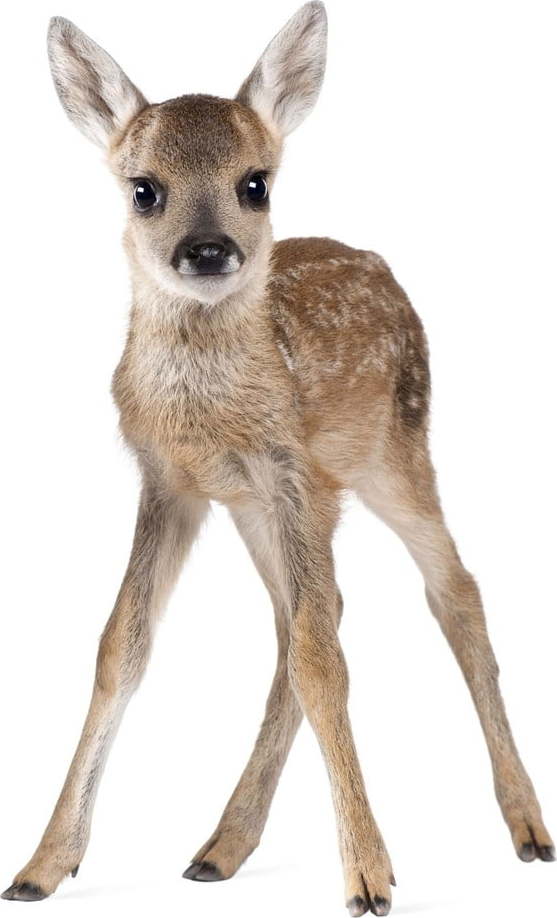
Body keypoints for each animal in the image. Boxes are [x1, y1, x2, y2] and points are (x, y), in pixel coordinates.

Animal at [2, 4, 553, 915]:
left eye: (255, 182)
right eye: (143, 188)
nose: (207, 250)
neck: (210, 414)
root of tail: (379, 264)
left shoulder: (293, 470)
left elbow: (321, 661)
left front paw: (367, 877)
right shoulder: (172, 483)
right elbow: (123, 646)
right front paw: (42, 865)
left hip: (394, 454)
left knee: (451, 593)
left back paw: (526, 828)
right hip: (269, 509)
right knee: (305, 620)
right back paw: (220, 847)